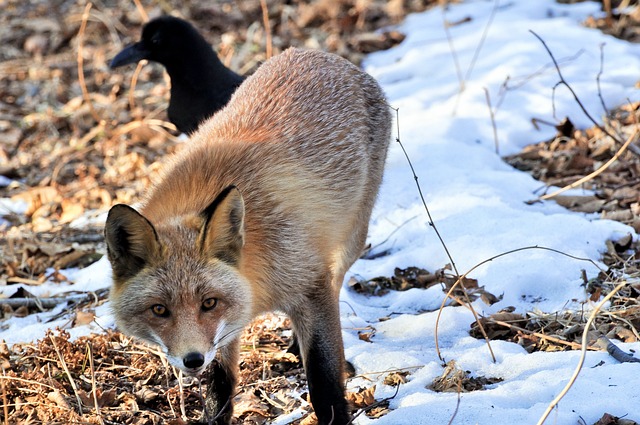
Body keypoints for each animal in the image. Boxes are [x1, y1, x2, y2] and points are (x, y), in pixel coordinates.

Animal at [105, 47, 390, 424]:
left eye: (208, 302)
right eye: (159, 310)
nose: (191, 360)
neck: (257, 283)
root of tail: (315, 53)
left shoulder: (310, 284)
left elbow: (324, 383)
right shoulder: (226, 327)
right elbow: (219, 388)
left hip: (349, 239)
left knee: (338, 278)